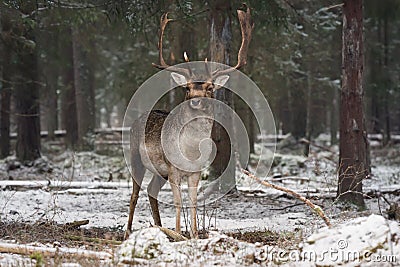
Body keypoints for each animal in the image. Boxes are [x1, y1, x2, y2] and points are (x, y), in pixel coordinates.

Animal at [126, 5, 253, 241]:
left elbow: (193, 202)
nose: (195, 99)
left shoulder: (195, 172)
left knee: (151, 190)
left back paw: (159, 228)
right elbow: (178, 202)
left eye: (210, 88)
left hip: (160, 172)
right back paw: (129, 230)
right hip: (135, 156)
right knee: (135, 193)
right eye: (186, 88)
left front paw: (193, 234)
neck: (191, 150)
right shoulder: (173, 168)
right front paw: (179, 234)